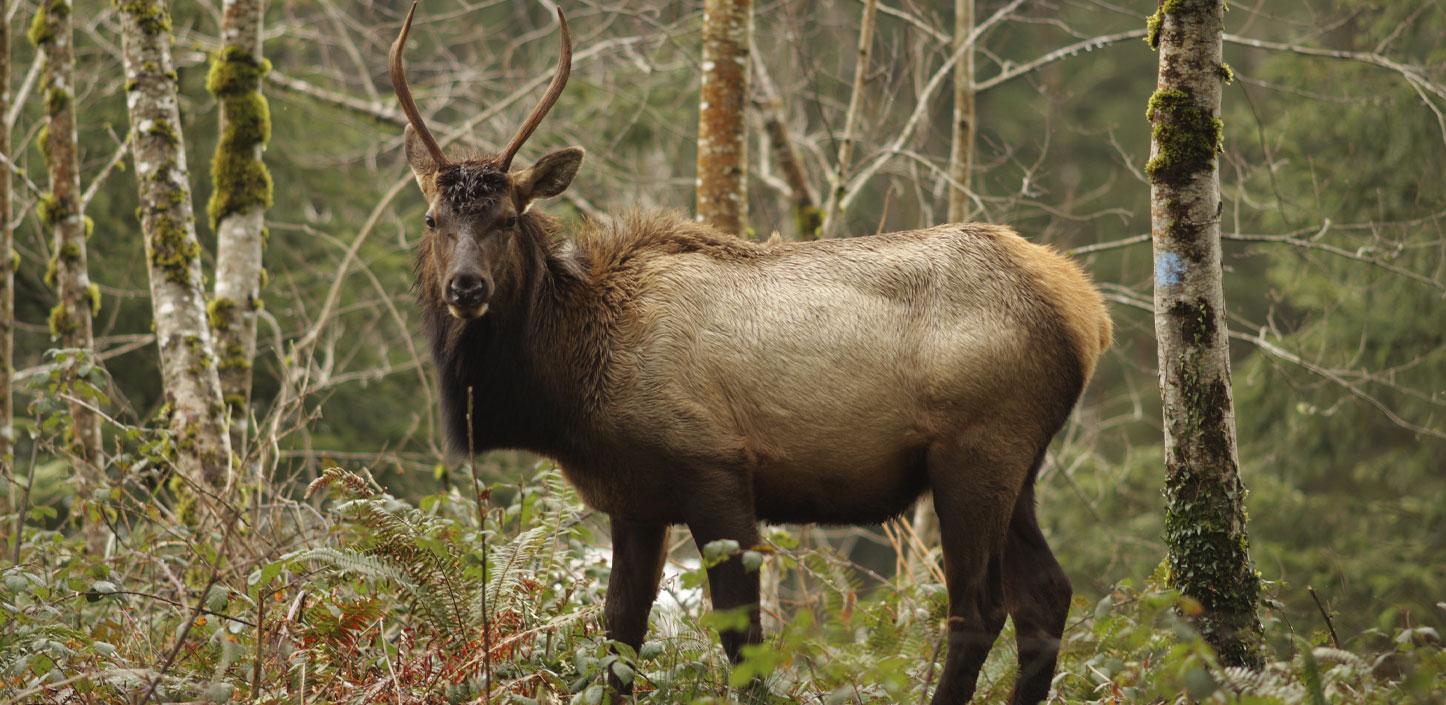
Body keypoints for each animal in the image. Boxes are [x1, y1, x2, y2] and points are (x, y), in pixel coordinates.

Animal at [384, 6, 1104, 705]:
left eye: (508, 218)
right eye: (432, 220)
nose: (466, 287)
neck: (571, 380)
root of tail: (1088, 313)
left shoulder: (716, 469)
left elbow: (744, 648)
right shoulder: (635, 501)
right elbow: (620, 638)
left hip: (975, 454)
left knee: (978, 610)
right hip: (1019, 468)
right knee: (1047, 597)